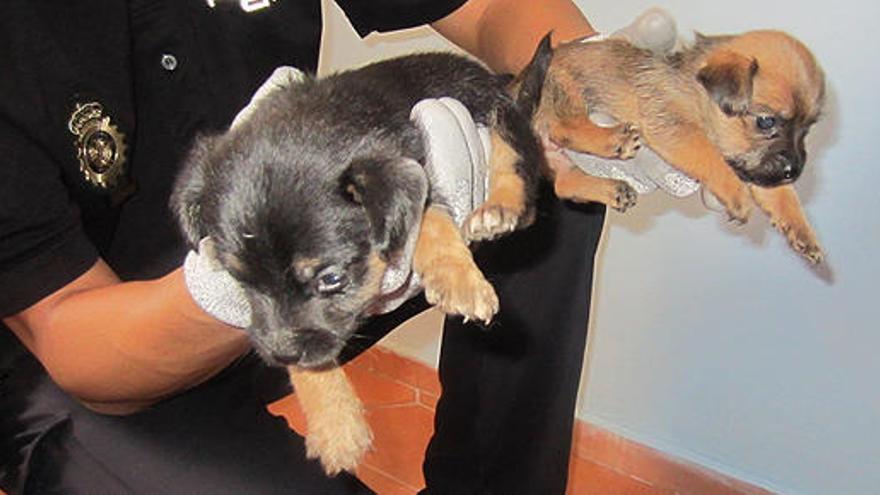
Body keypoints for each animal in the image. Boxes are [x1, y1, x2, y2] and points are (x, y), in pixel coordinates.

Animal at [169, 52, 548, 474]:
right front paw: (336, 425)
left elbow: (432, 223)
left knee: (515, 157)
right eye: (239, 279)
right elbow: (307, 351)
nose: (280, 355)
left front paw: (459, 281)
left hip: (496, 108)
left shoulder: (416, 171)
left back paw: (498, 208)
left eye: (331, 279)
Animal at [532, 30, 828, 264]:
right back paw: (614, 140)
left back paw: (612, 189)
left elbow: (781, 195)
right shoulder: (676, 130)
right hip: (565, 90)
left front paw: (802, 230)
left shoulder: (756, 168)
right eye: (766, 121)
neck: (696, 93)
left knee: (563, 184)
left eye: (807, 128)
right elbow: (711, 156)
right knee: (562, 127)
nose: (794, 171)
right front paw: (738, 195)